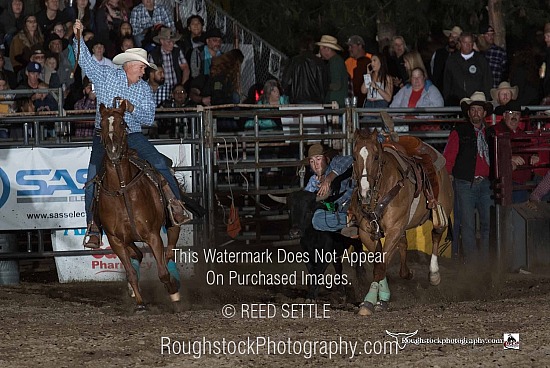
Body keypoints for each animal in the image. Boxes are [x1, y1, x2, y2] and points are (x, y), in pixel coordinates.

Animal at [96, 98, 180, 310]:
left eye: (122, 123)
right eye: (101, 125)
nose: (113, 151)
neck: (122, 189)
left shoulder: (152, 235)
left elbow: (162, 273)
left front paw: (173, 291)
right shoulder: (115, 240)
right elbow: (131, 273)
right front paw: (140, 302)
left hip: (172, 223)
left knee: (169, 251)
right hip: (127, 240)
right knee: (137, 255)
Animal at [352, 129, 454, 316]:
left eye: (376, 157)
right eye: (354, 157)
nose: (364, 193)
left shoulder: (394, 228)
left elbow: (381, 265)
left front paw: (369, 302)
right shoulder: (366, 232)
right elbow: (380, 262)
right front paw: (382, 299)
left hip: (441, 209)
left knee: (436, 234)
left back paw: (434, 274)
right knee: (403, 244)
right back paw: (406, 273)